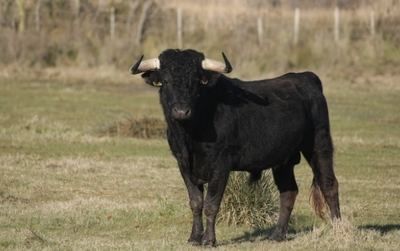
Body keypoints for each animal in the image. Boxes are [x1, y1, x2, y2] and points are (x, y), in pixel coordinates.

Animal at [129, 49, 340, 245]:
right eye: (165, 81)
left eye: (196, 81)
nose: (181, 111)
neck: (190, 134)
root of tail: (305, 77)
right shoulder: (183, 164)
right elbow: (196, 202)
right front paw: (194, 238)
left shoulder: (221, 164)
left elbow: (211, 204)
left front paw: (209, 240)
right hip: (284, 160)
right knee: (288, 192)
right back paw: (277, 235)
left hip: (319, 144)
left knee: (329, 185)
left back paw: (338, 229)